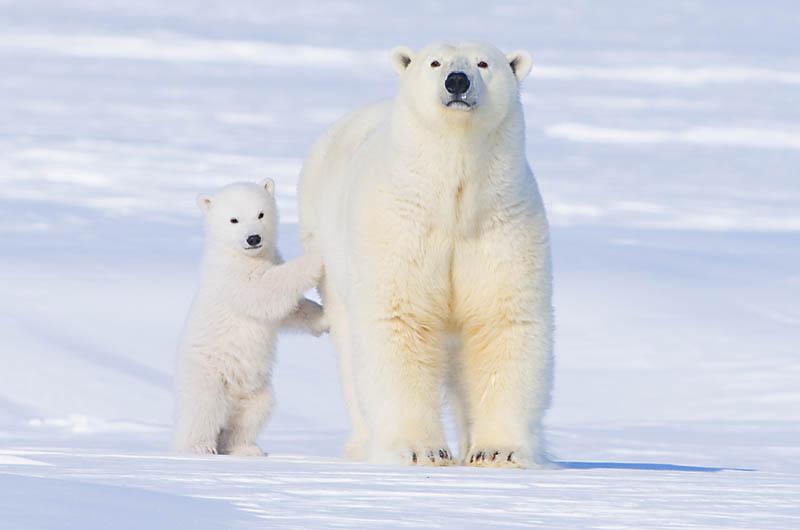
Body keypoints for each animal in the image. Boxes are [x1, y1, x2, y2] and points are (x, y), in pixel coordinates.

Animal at [174, 180, 326, 456]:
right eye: (233, 219)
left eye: (261, 214)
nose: (253, 238)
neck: (238, 254)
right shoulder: (232, 276)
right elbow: (265, 289)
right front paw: (316, 258)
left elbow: (287, 311)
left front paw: (323, 318)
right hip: (207, 372)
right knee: (203, 408)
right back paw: (199, 447)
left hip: (255, 388)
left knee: (253, 412)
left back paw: (245, 448)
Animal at [297, 42, 553, 468]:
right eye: (435, 62)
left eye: (484, 63)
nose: (457, 81)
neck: (452, 202)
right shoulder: (400, 226)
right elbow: (399, 320)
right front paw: (421, 450)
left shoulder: (500, 225)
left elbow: (501, 322)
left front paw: (497, 451)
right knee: (350, 350)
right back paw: (362, 444)